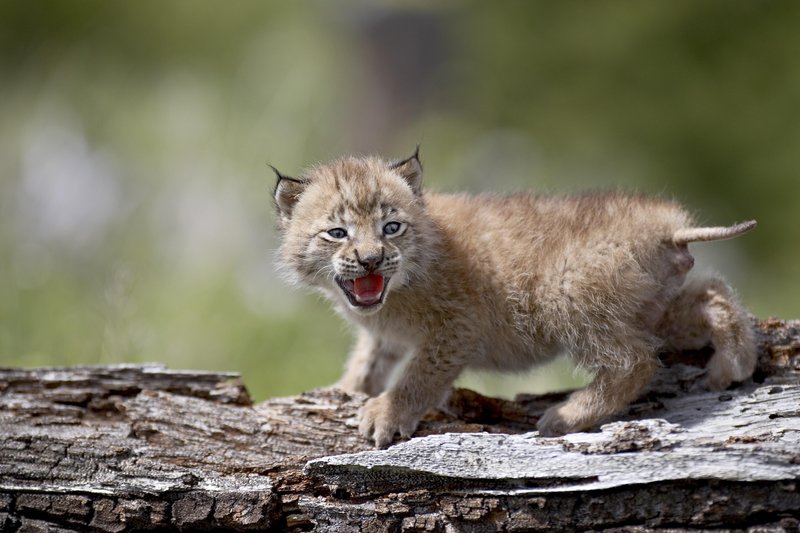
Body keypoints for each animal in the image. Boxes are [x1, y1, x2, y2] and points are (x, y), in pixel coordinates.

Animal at [274, 149, 756, 444]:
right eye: (338, 233)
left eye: (392, 228)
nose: (372, 260)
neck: (397, 291)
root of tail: (667, 227)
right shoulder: (385, 334)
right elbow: (368, 361)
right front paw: (346, 389)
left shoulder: (456, 327)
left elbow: (420, 374)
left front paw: (388, 413)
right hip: (651, 305)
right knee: (711, 292)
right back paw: (734, 364)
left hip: (566, 295)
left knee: (636, 360)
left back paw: (566, 416)